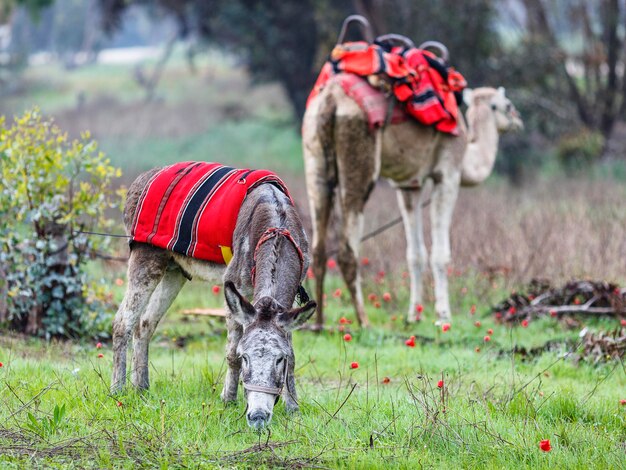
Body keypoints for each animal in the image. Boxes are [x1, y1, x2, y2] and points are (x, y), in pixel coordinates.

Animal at [302, 82, 520, 326]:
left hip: (314, 156)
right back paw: (364, 321)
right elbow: (440, 254)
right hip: (358, 149)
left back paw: (319, 322)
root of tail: (330, 100)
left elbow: (415, 254)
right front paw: (443, 317)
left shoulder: (408, 186)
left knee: (318, 246)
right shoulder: (448, 174)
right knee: (347, 247)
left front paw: (414, 315)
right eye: (507, 105)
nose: (519, 120)